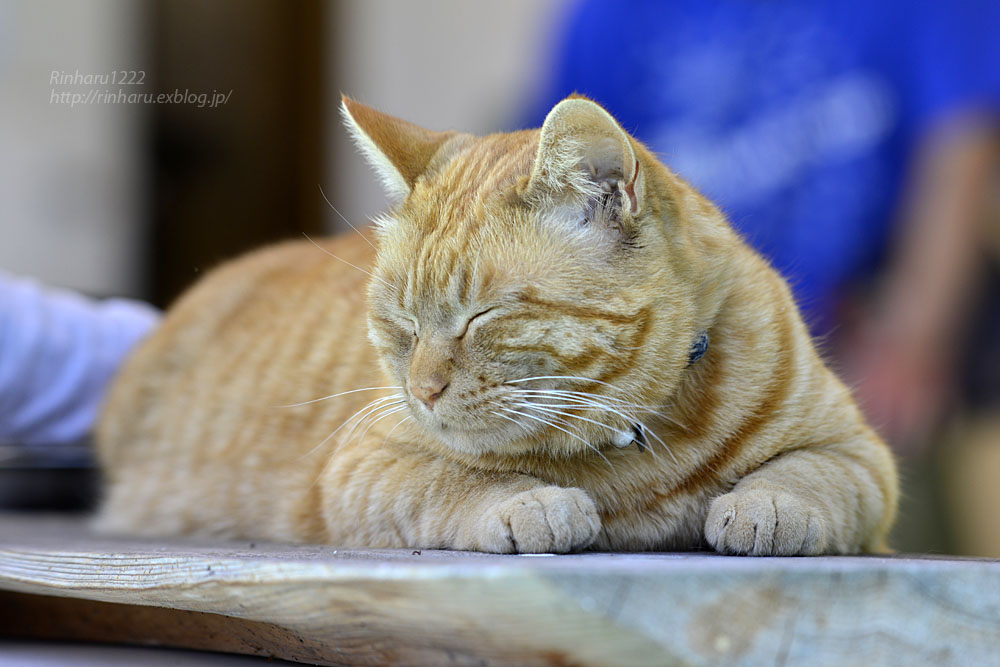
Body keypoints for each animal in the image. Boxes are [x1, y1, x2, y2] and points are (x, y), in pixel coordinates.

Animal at [97, 94, 904, 552]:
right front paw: (528, 502)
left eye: (483, 316)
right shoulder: (366, 464)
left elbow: (812, 475)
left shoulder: (858, 452)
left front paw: (770, 505)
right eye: (399, 321)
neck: (643, 450)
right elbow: (453, 481)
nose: (421, 390)